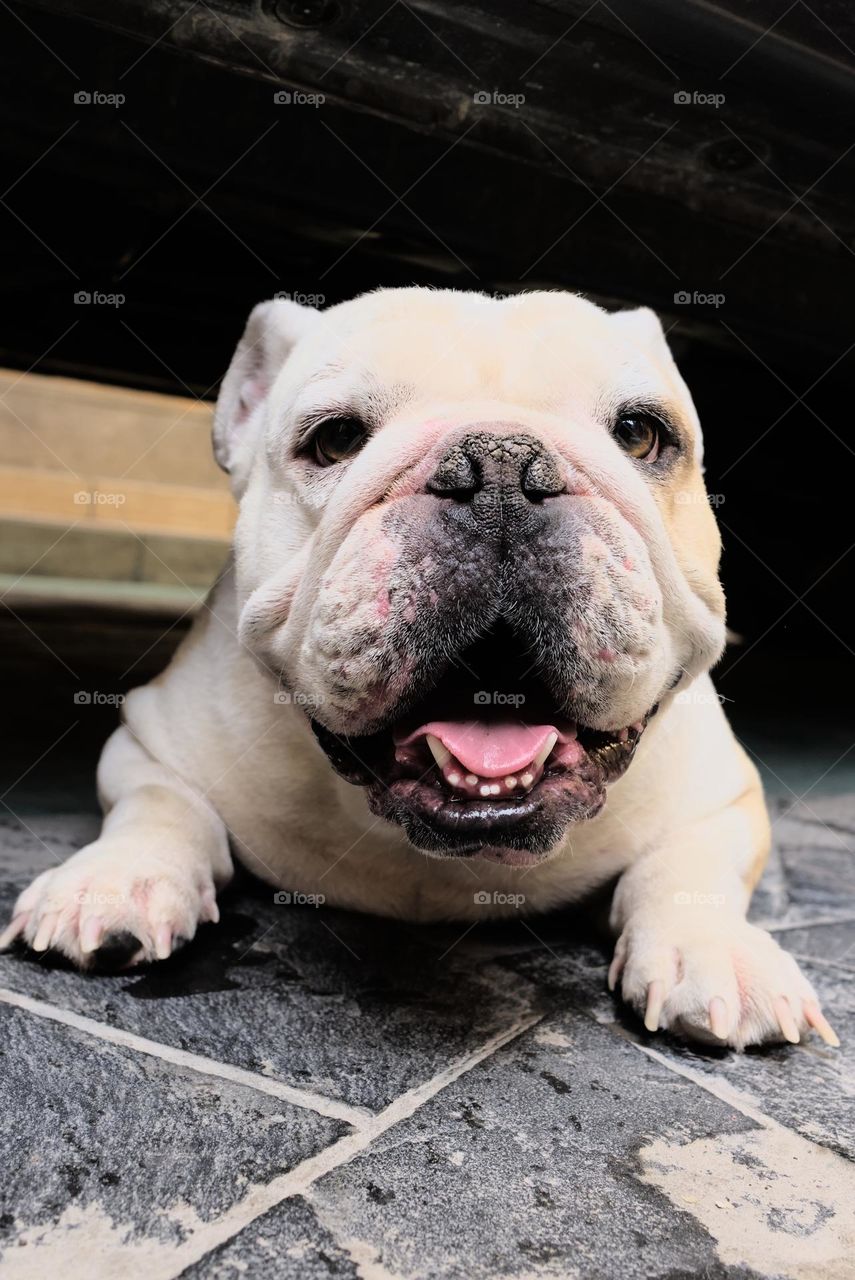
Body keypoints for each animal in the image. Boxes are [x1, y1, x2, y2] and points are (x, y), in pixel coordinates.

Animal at [3, 293, 839, 1049]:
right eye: (334, 439)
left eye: (639, 434)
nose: (500, 467)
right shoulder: (150, 741)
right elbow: (160, 808)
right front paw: (117, 879)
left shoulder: (721, 796)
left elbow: (686, 867)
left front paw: (715, 953)